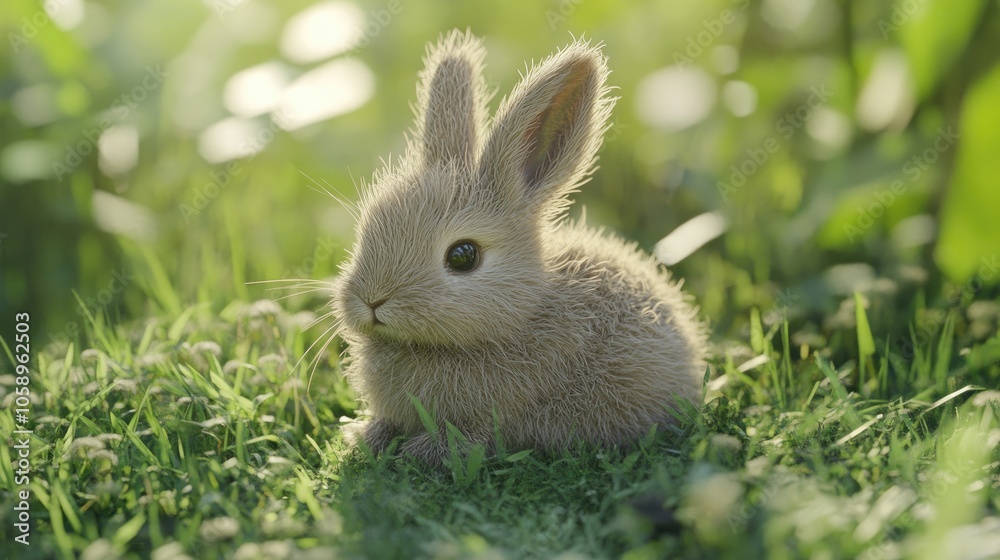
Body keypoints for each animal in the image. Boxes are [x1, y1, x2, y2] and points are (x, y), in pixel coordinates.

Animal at [331, 29, 708, 464]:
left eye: (463, 257)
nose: (372, 300)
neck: (523, 314)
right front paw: (366, 436)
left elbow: (472, 435)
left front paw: (421, 451)